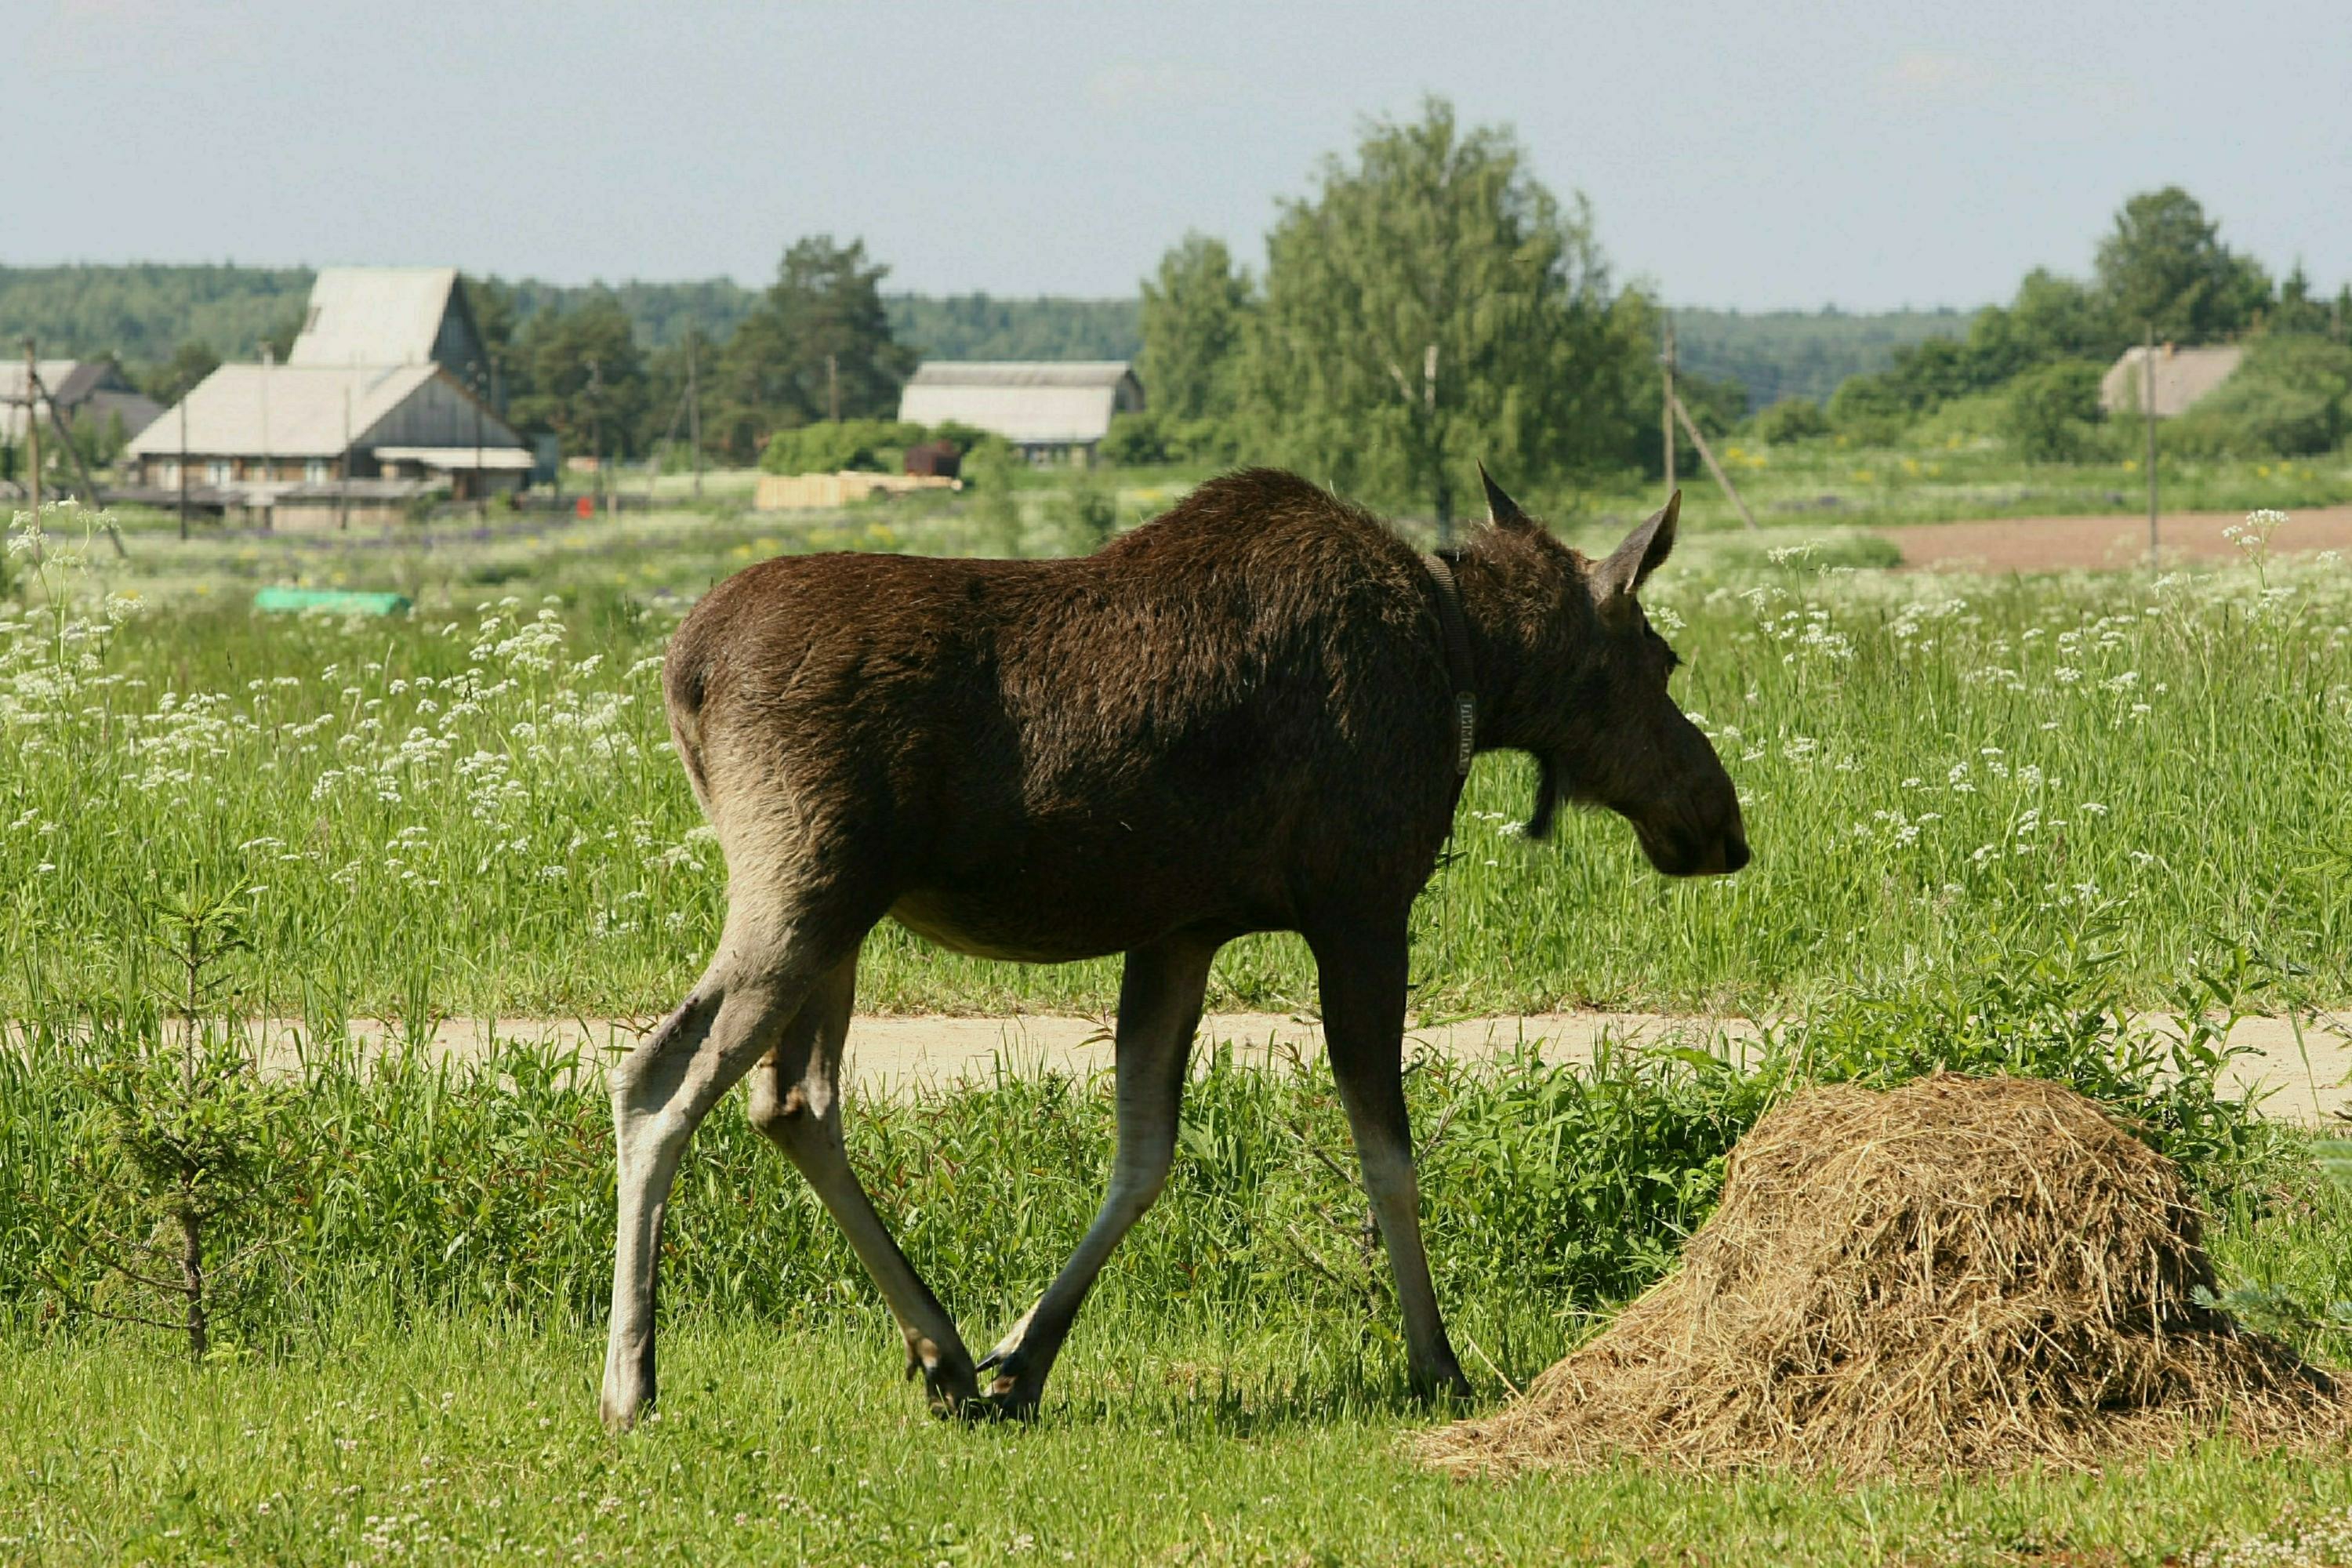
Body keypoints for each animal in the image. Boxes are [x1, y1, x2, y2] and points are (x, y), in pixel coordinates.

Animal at [602, 463, 1750, 1420]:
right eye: (1662, 659)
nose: (1722, 823)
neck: (1472, 667)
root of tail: (684, 669)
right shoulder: (1363, 907)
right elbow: (1388, 1158)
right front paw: (1437, 1361)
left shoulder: (1183, 932)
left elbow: (1143, 1154)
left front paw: (1025, 1356)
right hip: (802, 887)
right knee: (660, 1078)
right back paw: (632, 1380)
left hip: (841, 912)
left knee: (795, 1102)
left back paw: (942, 1351)